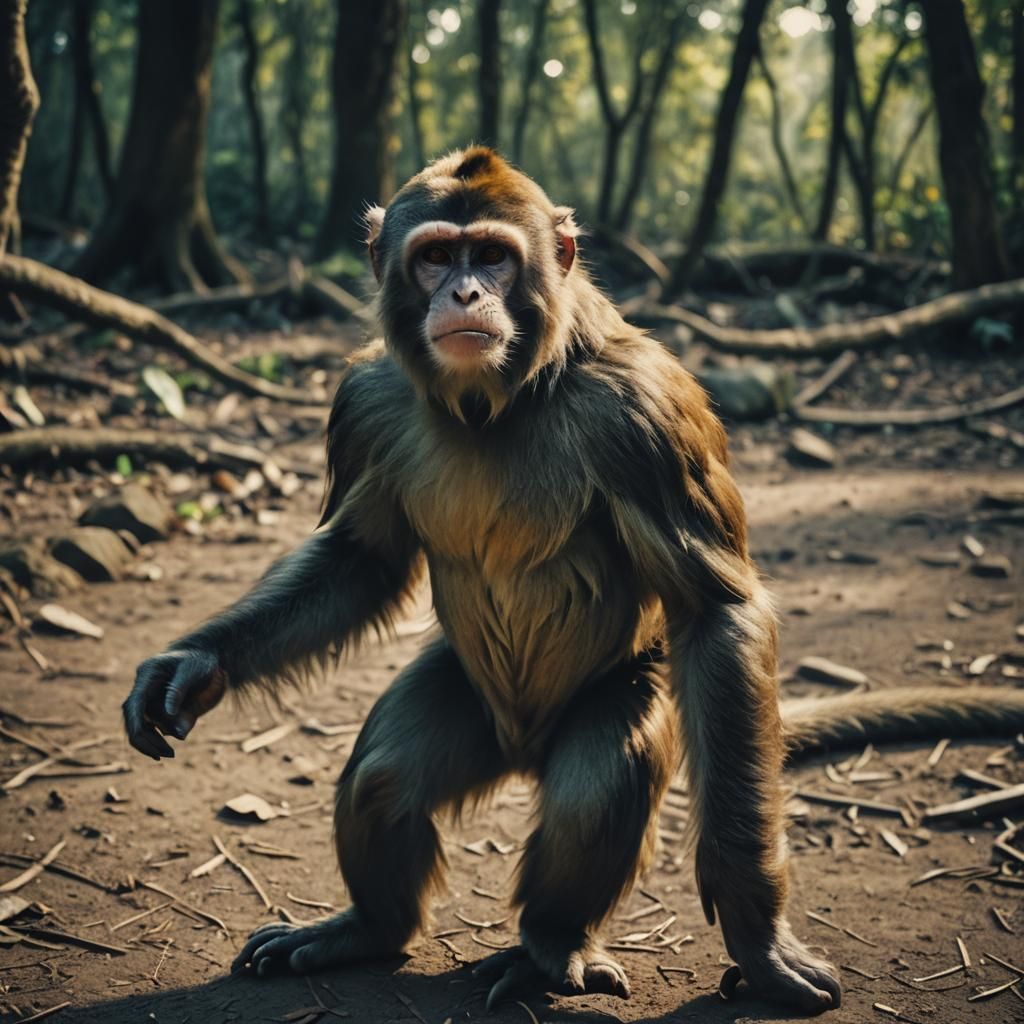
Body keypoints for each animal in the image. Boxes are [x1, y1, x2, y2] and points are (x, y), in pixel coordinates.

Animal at [123, 147, 1024, 1016]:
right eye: (435, 256)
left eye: (491, 255)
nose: (465, 291)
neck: (498, 399)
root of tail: (523, 749)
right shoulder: (367, 400)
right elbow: (362, 560)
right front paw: (196, 663)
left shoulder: (646, 413)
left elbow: (716, 609)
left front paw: (757, 936)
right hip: (475, 703)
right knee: (386, 776)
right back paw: (370, 930)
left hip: (629, 682)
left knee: (602, 778)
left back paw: (549, 946)